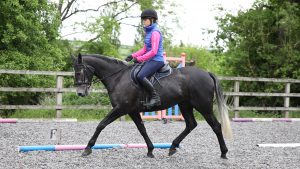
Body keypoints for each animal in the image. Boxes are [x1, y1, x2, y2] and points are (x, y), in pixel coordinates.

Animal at [72, 53, 232, 159]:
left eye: (80, 71)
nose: (80, 93)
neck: (118, 77)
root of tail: (207, 73)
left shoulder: (121, 109)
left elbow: (101, 124)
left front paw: (87, 148)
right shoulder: (132, 111)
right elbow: (142, 129)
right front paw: (150, 150)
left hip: (203, 106)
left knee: (216, 126)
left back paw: (224, 153)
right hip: (185, 105)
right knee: (191, 124)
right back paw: (172, 147)